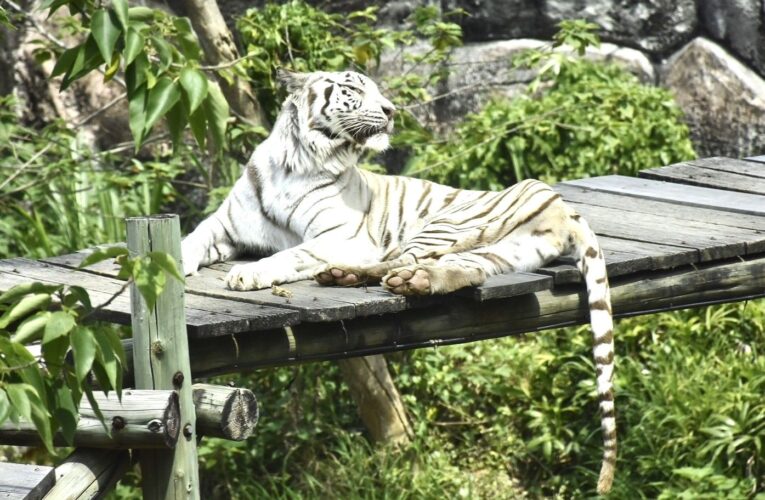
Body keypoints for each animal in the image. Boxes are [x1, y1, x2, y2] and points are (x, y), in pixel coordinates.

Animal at [180, 68, 617, 494]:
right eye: (354, 88)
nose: (391, 111)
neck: (297, 164)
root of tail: (566, 209)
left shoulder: (342, 236)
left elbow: (292, 254)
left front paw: (248, 272)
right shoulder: (224, 226)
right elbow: (189, 242)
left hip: (445, 224)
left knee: (395, 261)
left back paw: (351, 274)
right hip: (500, 250)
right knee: (457, 268)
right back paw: (405, 280)